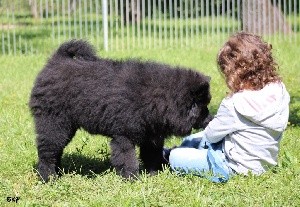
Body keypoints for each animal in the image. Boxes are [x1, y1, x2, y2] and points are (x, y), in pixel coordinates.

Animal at [28, 39, 211, 181]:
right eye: (204, 107)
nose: (210, 119)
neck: (159, 99)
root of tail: (55, 61)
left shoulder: (151, 136)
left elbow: (152, 155)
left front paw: (155, 173)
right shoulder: (124, 137)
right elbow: (127, 159)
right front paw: (132, 178)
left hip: (65, 127)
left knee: (55, 151)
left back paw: (58, 173)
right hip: (53, 123)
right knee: (47, 152)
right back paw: (48, 177)